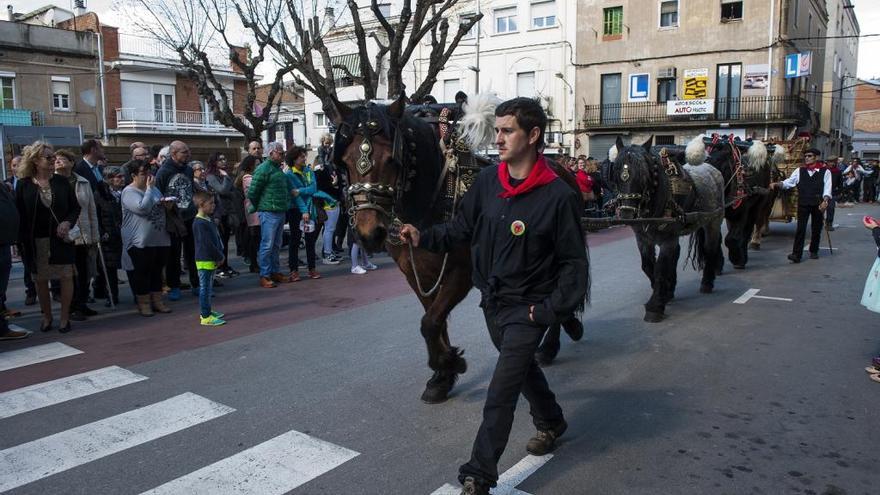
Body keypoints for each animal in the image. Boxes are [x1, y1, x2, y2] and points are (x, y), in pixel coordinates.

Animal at [328, 97, 584, 404]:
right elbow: (435, 322)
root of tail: (561, 167)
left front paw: (451, 363)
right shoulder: (416, 275)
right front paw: (442, 375)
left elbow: (430, 322)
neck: (431, 200)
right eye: (345, 162)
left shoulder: (461, 273)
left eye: (391, 159)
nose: (368, 233)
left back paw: (551, 345)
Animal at [608, 137, 724, 322]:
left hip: (713, 222)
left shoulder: (668, 238)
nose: (626, 213)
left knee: (710, 248)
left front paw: (655, 306)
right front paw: (665, 293)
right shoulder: (643, 239)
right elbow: (648, 266)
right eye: (617, 172)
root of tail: (712, 169)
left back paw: (707, 281)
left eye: (644, 174)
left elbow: (661, 268)